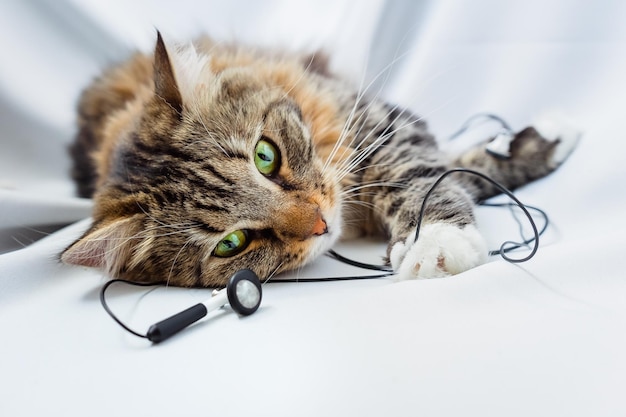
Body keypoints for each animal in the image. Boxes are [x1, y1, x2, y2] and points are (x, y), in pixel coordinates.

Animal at [61, 31, 576, 286]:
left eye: (265, 156)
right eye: (232, 243)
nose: (321, 224)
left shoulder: (379, 127)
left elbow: (428, 176)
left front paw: (435, 241)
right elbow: (457, 173)